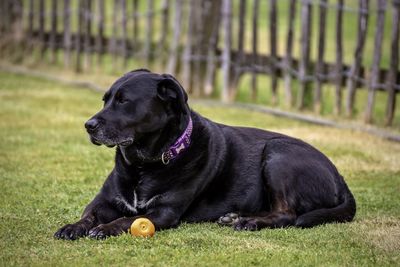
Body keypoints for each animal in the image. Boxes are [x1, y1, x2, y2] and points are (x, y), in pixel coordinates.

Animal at [54, 69, 356, 241]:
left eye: (124, 100)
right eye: (105, 99)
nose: (88, 125)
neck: (143, 165)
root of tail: (341, 178)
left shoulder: (164, 212)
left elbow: (126, 220)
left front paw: (106, 229)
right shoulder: (104, 201)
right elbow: (89, 215)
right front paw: (73, 226)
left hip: (278, 153)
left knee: (287, 214)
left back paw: (249, 222)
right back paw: (234, 217)